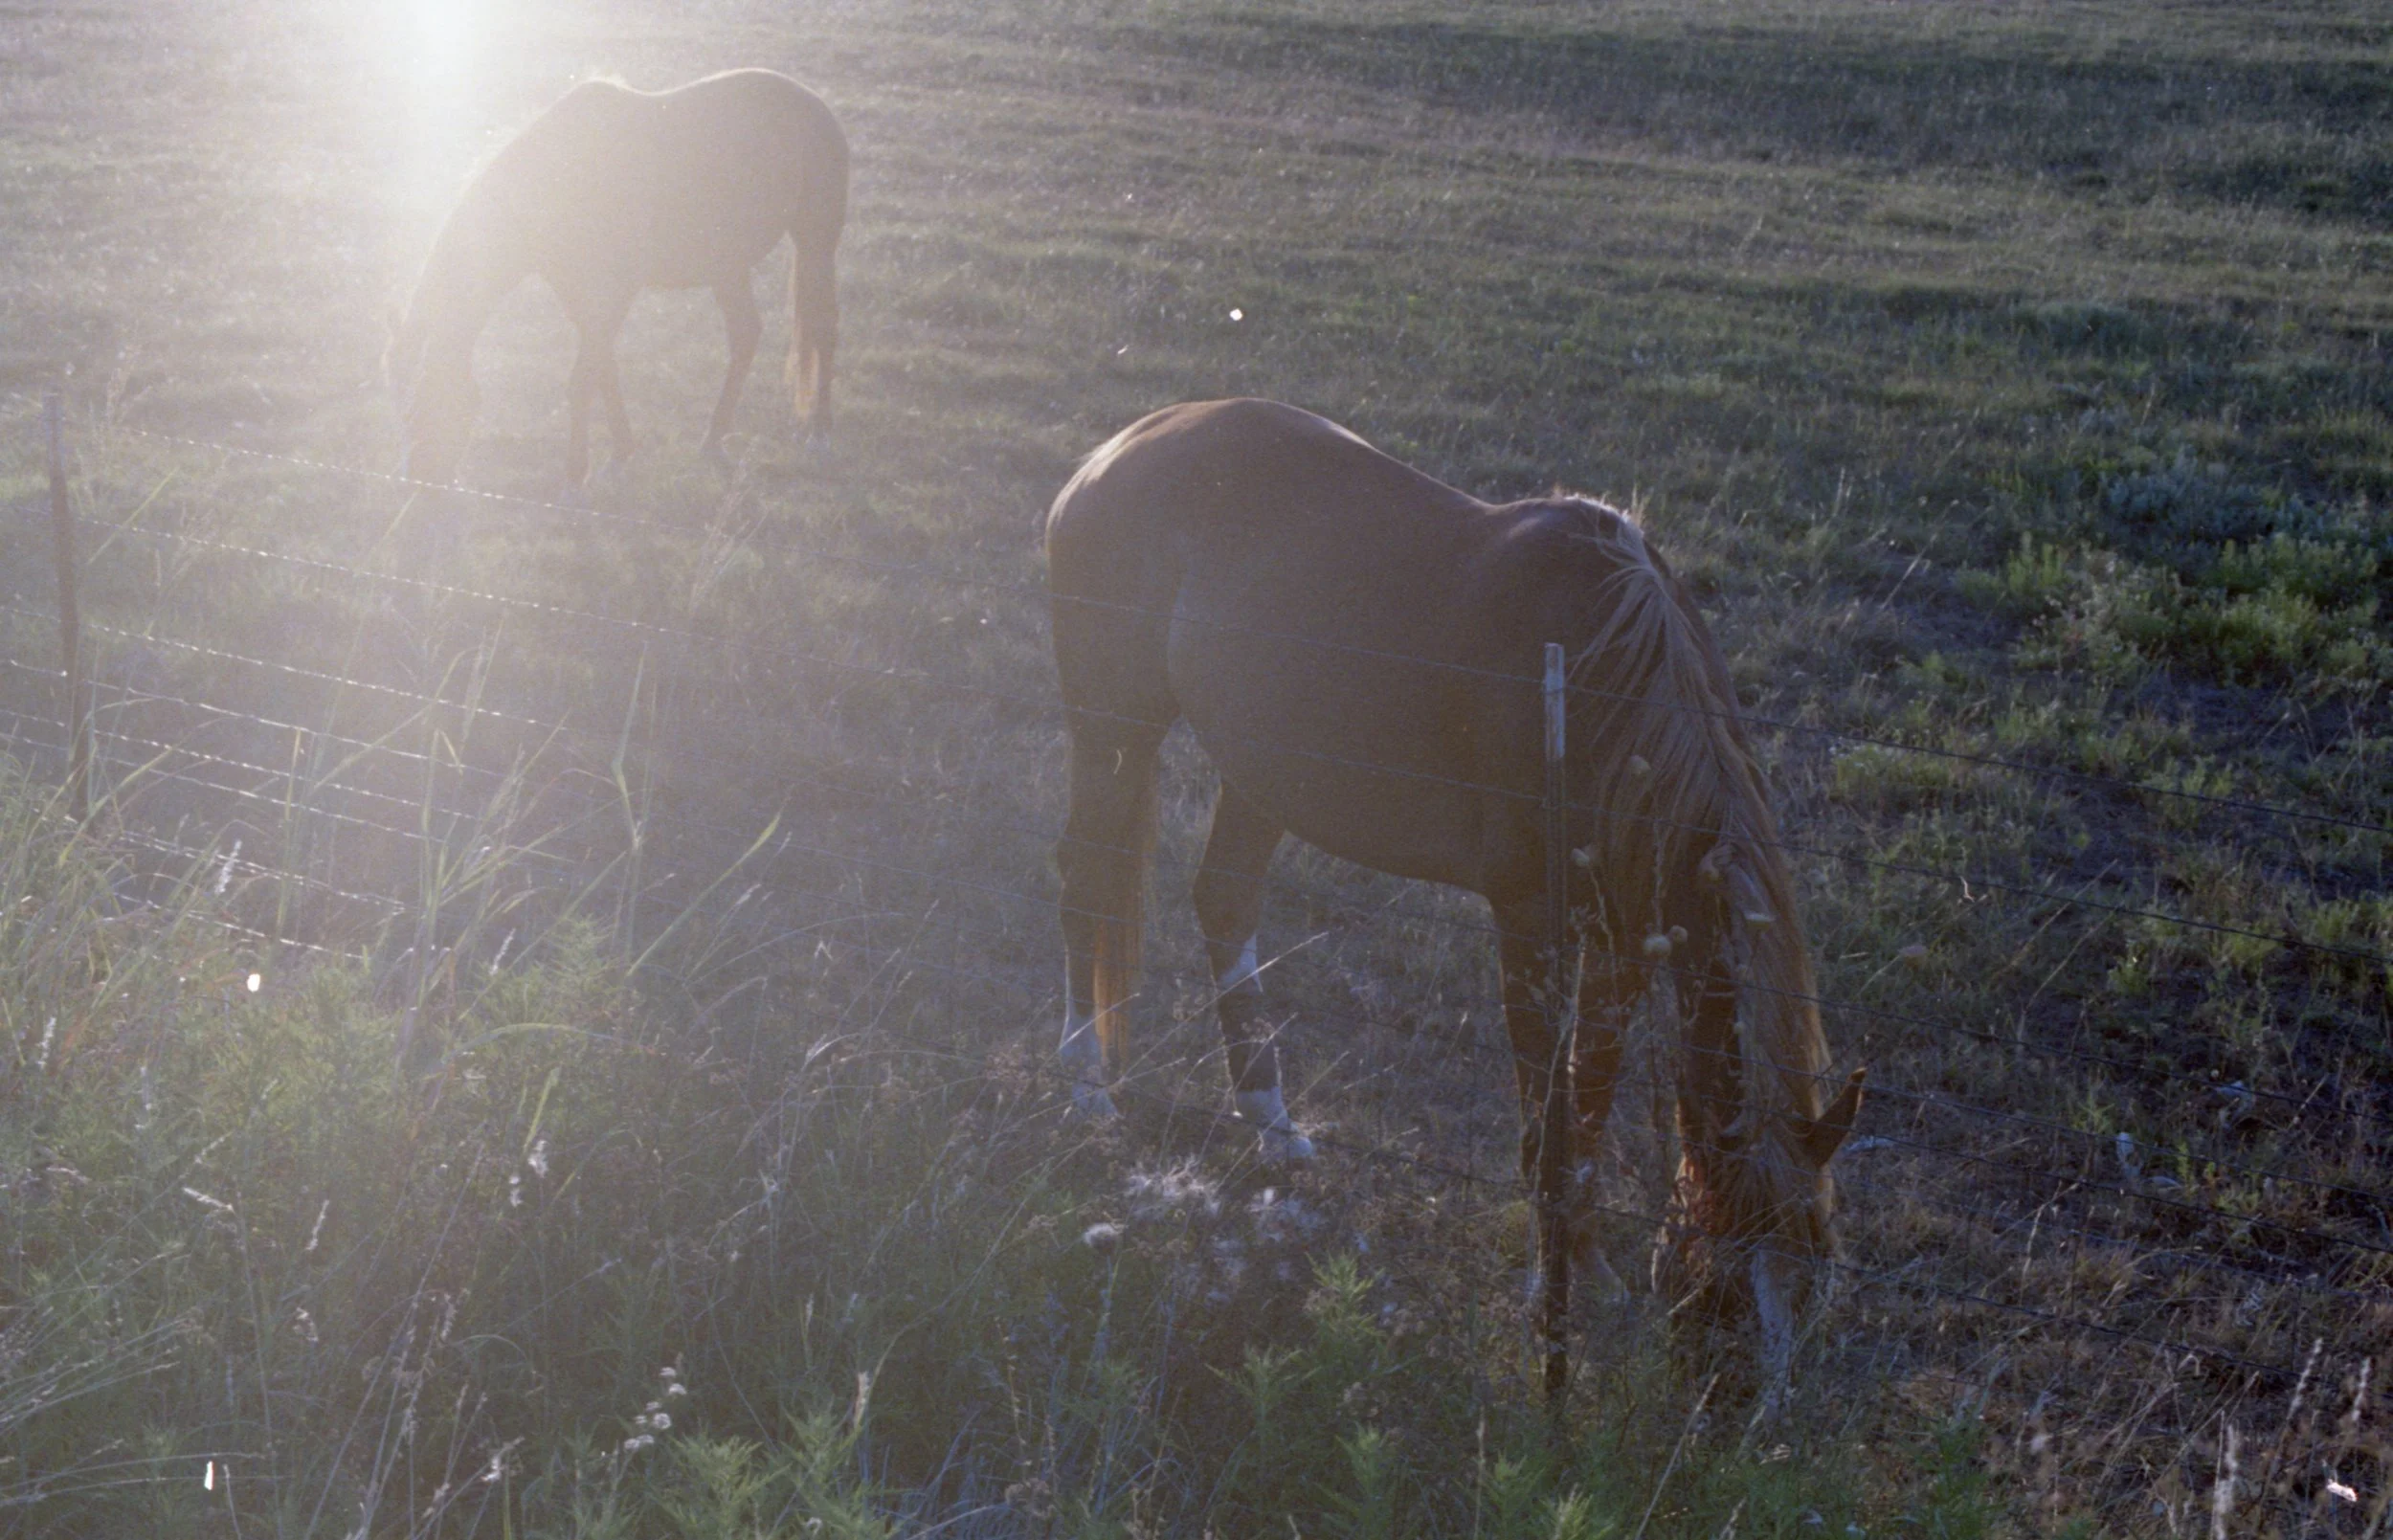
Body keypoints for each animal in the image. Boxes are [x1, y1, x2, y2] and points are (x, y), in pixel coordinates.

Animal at [385, 68, 848, 489]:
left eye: (421, 410)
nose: (417, 482)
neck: (561, 182)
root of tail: (815, 103)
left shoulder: (617, 290)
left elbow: (582, 379)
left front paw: (576, 475)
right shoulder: (577, 295)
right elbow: (602, 368)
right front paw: (620, 454)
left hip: (815, 243)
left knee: (823, 330)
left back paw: (820, 434)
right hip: (727, 266)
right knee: (746, 334)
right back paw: (713, 442)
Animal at [1045, 398, 1864, 1411]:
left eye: (1814, 1270)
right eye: (1725, 1280)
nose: (1754, 1412)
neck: (1606, 680)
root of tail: (1112, 452)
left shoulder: (1625, 937)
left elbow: (1589, 1095)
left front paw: (1586, 1266)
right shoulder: (1528, 918)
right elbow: (1546, 1105)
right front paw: (1547, 1282)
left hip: (1261, 770)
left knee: (1224, 901)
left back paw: (1272, 1121)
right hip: (1112, 729)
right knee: (1086, 881)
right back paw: (1085, 1081)